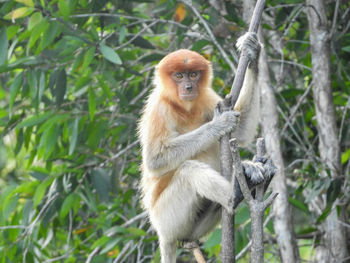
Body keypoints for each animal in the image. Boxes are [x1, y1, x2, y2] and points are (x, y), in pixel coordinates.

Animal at [137, 33, 274, 263]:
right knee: (188, 170)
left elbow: (241, 131)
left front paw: (252, 52)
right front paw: (219, 123)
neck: (183, 107)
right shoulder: (159, 108)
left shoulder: (206, 98)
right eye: (179, 76)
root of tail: (163, 235)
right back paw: (235, 194)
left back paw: (249, 172)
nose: (188, 88)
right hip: (167, 218)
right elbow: (155, 160)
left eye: (193, 75)